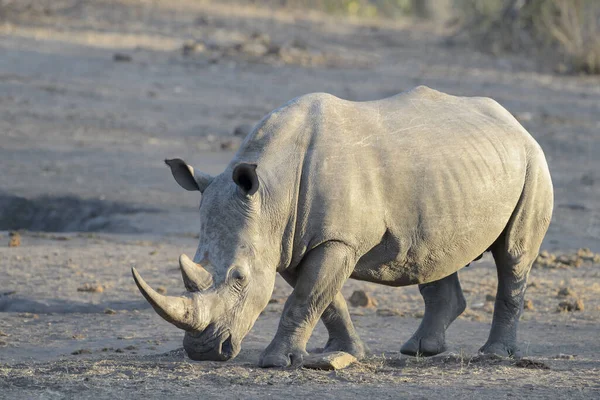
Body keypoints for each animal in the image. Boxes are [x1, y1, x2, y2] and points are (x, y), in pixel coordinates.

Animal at [131, 86, 552, 368]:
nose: (203, 352)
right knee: (434, 253)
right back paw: (420, 350)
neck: (270, 194)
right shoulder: (293, 242)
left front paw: (275, 362)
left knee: (513, 255)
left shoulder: (335, 239)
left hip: (533, 161)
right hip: (447, 174)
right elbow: (324, 299)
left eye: (239, 278)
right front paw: (347, 353)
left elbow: (305, 297)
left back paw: (494, 355)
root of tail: (513, 122)